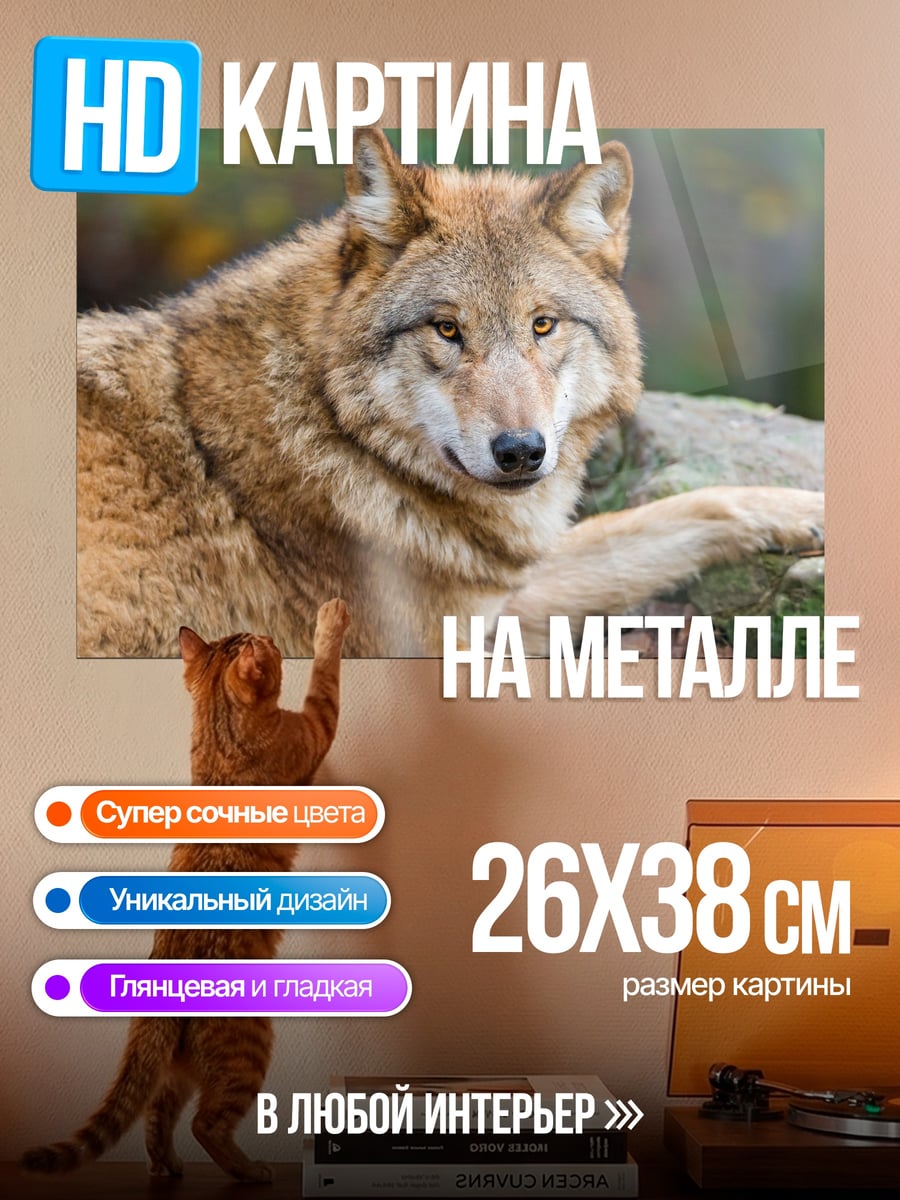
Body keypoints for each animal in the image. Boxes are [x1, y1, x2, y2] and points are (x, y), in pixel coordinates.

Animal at [77, 130, 823, 657]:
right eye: (447, 328)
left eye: (542, 324)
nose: (521, 451)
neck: (328, 436)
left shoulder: (495, 600)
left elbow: (672, 513)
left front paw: (800, 508)